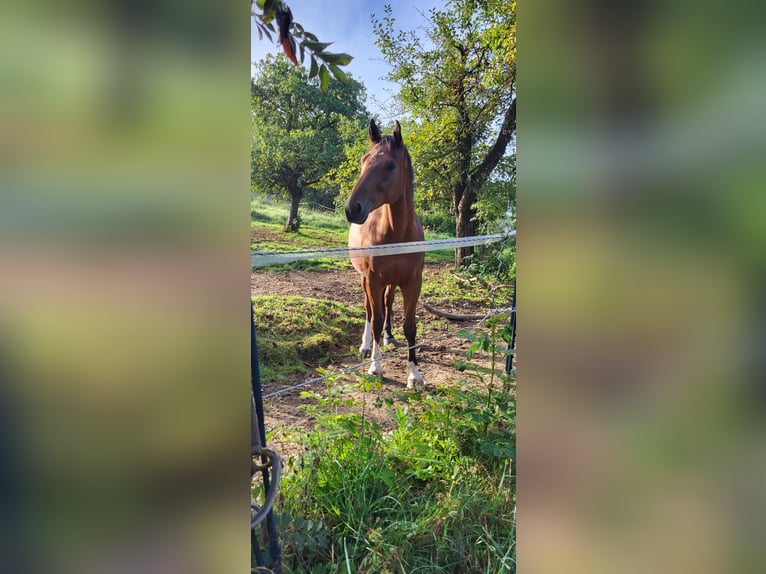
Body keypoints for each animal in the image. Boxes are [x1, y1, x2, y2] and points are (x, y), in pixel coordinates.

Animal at [346, 121, 426, 392]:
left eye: (390, 165)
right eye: (363, 160)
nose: (352, 208)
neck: (397, 233)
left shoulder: (413, 282)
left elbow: (410, 327)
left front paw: (414, 375)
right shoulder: (373, 280)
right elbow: (376, 319)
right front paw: (376, 366)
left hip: (391, 283)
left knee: (388, 303)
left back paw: (389, 337)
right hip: (364, 280)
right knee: (370, 310)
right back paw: (366, 345)